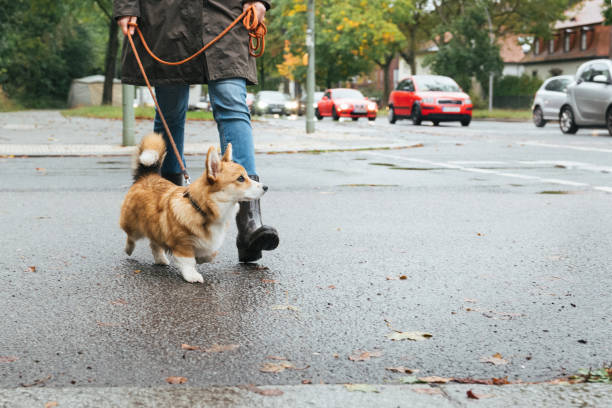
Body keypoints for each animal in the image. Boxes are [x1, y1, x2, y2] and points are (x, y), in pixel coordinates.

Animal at [120, 134, 266, 284]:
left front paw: (201, 258)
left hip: (155, 227)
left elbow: (210, 254)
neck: (201, 209)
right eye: (241, 178)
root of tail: (147, 175)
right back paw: (129, 249)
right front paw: (192, 275)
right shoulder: (183, 244)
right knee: (131, 237)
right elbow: (188, 261)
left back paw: (160, 259)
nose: (265, 187)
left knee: (154, 244)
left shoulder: (210, 243)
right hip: (134, 226)